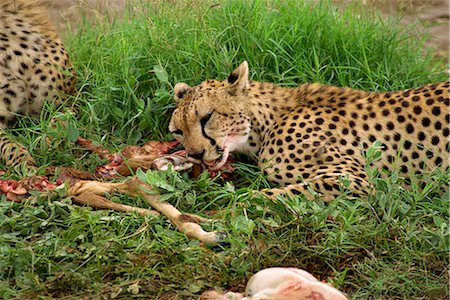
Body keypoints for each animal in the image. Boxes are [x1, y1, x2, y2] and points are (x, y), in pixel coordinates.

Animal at [170, 61, 450, 199]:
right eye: (177, 131)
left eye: (207, 117)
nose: (195, 154)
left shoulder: (354, 180)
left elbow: (267, 195)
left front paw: (225, 205)